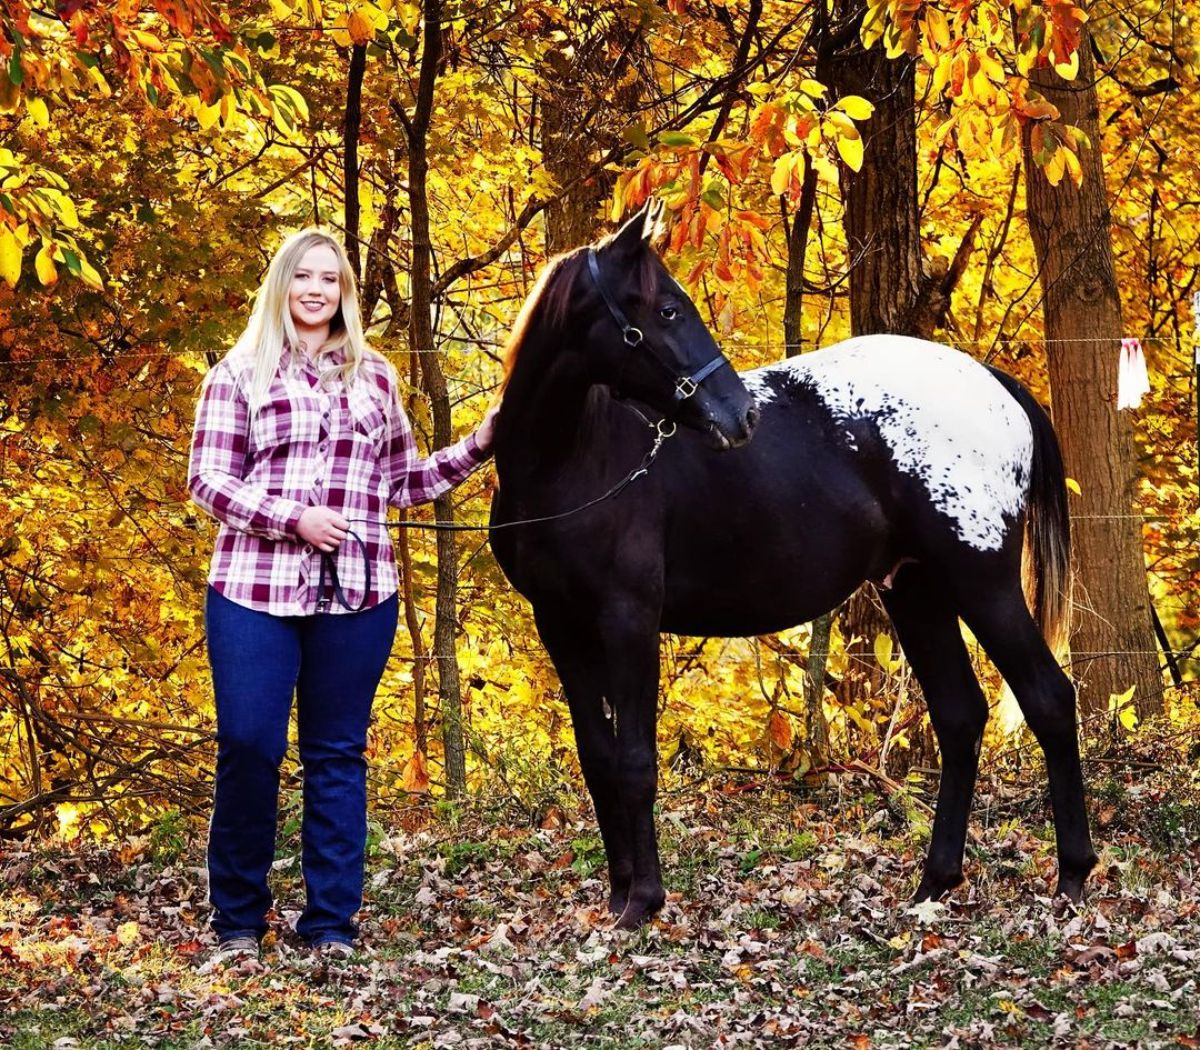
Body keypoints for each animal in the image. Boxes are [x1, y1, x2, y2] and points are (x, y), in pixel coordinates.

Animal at [484, 202, 1099, 926]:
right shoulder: (562, 627)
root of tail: (995, 385)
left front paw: (643, 905)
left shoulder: (628, 620)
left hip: (982, 584)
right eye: (666, 309)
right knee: (960, 714)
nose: (739, 415)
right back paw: (934, 883)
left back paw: (1072, 877)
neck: (578, 460)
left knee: (1049, 698)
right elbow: (598, 759)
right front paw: (617, 898)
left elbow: (634, 761)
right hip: (915, 589)